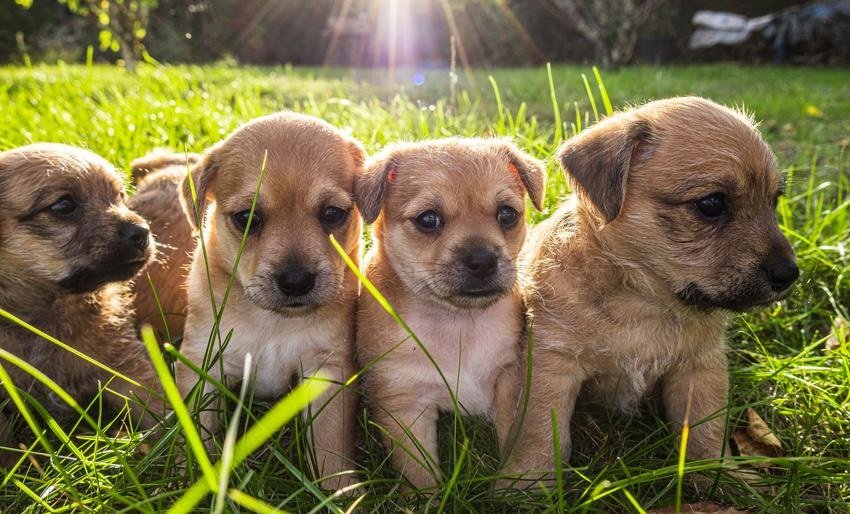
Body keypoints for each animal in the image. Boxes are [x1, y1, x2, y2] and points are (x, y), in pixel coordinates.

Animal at [176, 112, 364, 488]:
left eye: (332, 213)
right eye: (247, 218)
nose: (296, 281)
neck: (273, 322)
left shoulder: (328, 369)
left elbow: (330, 442)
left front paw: (338, 492)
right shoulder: (203, 361)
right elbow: (198, 428)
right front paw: (194, 478)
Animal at [354, 137, 548, 488]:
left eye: (507, 215)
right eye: (428, 220)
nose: (482, 260)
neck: (456, 323)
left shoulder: (510, 382)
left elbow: (515, 442)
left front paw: (513, 488)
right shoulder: (404, 406)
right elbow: (419, 473)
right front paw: (428, 496)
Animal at [496, 96, 796, 484]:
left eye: (774, 201)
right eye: (711, 204)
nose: (789, 274)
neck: (643, 301)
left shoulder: (700, 367)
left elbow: (706, 430)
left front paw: (720, 478)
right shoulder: (552, 364)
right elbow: (540, 433)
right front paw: (527, 482)